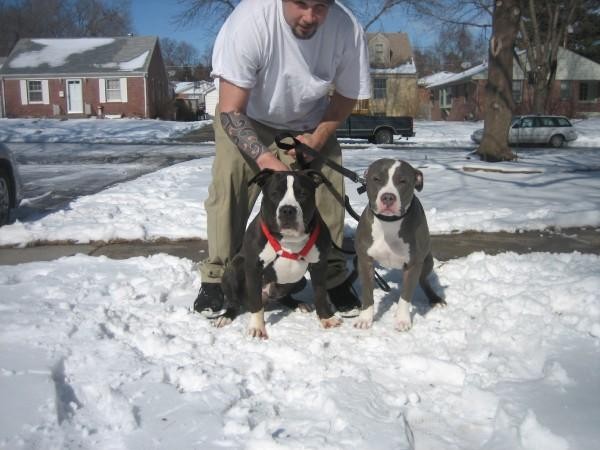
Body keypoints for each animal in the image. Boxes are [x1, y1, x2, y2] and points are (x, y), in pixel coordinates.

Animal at [214, 169, 342, 338]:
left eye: (302, 194)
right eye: (275, 194)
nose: (288, 210)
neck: (289, 239)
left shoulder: (319, 265)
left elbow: (320, 294)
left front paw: (326, 318)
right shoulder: (253, 267)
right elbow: (256, 302)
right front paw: (257, 327)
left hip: (299, 281)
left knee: (285, 297)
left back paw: (298, 304)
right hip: (233, 269)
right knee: (235, 301)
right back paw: (226, 316)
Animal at [354, 159, 445, 331]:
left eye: (403, 181)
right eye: (376, 179)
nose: (388, 197)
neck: (389, 223)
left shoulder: (413, 264)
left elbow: (405, 296)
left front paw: (402, 320)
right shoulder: (364, 260)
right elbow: (368, 293)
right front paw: (365, 318)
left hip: (427, 261)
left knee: (423, 280)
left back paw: (435, 299)